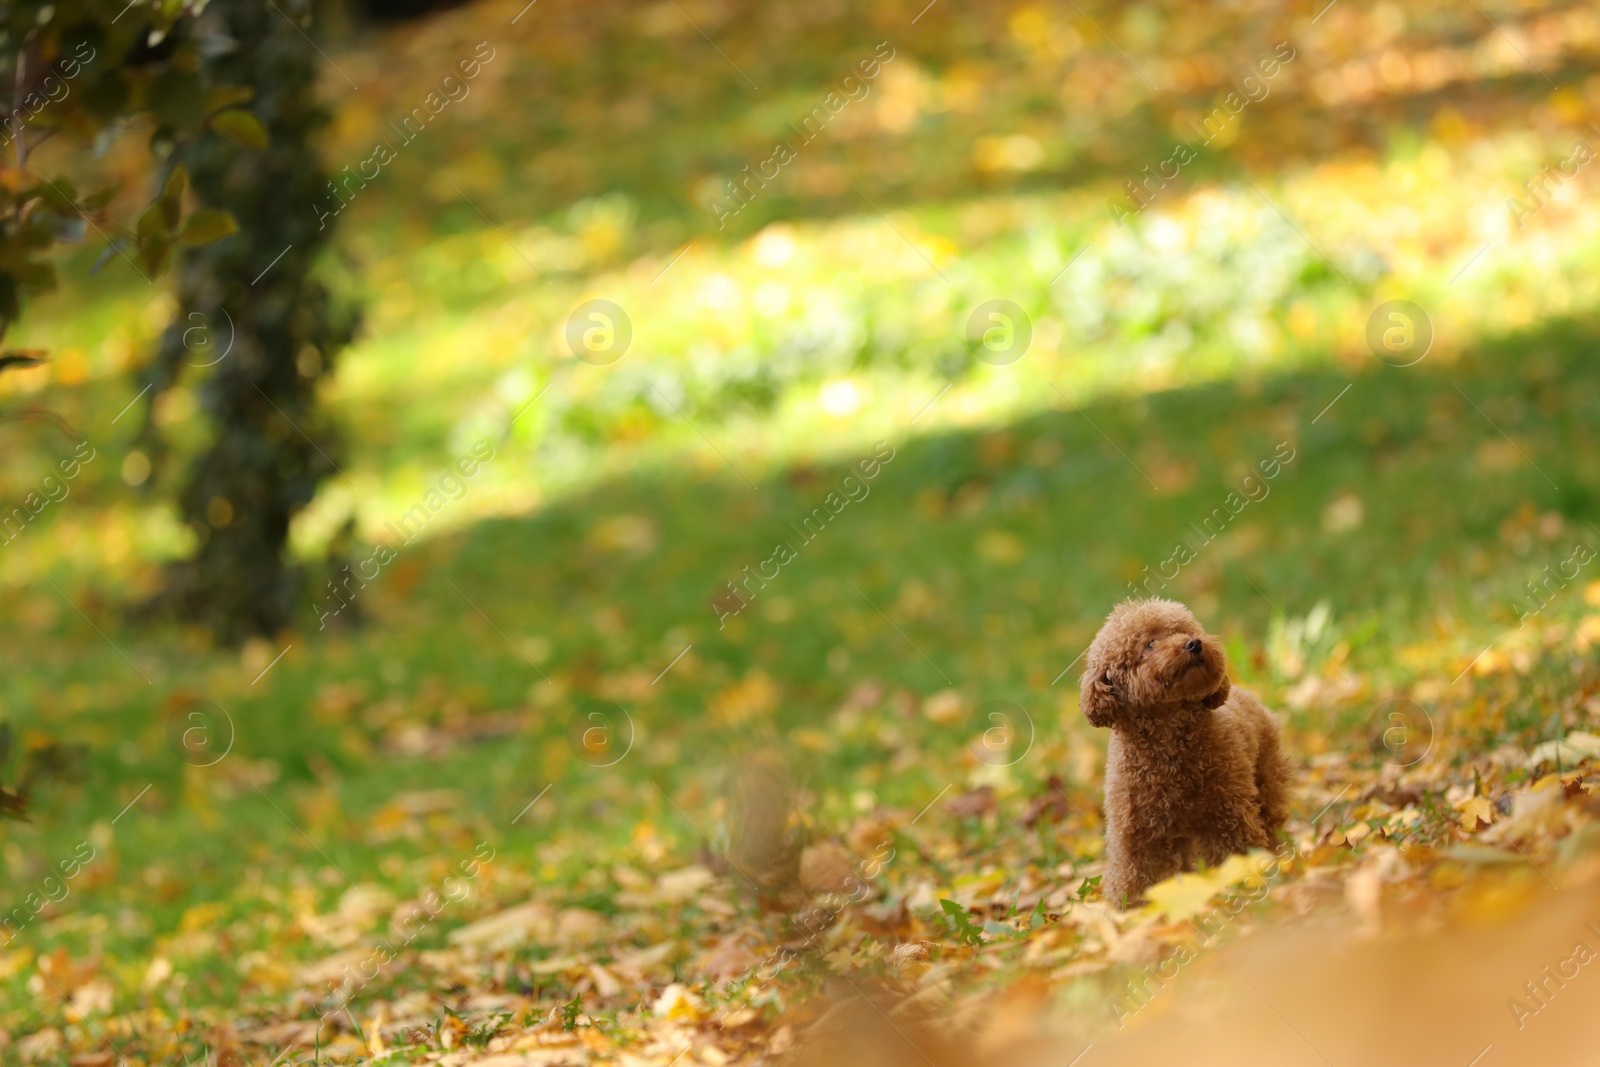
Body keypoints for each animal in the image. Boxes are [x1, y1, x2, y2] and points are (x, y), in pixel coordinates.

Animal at [1075, 598, 1286, 908]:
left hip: (1267, 783)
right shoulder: (1136, 836)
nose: (1194, 644)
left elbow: (1237, 853)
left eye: (1184, 631)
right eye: (1150, 644)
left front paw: (1242, 885)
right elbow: (1133, 881)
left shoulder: (1228, 816)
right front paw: (1132, 912)